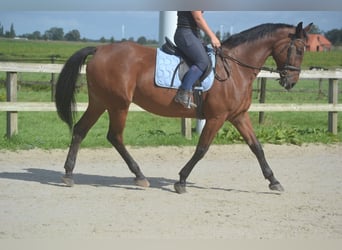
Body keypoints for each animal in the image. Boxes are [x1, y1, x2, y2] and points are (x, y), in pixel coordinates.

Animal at [54, 21, 312, 193]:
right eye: (299, 50)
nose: (291, 82)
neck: (236, 69)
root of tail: (100, 49)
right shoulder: (217, 117)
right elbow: (202, 149)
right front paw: (181, 181)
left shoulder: (238, 116)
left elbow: (256, 147)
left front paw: (274, 181)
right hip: (118, 105)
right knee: (114, 136)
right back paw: (139, 176)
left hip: (100, 102)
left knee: (80, 130)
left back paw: (68, 174)